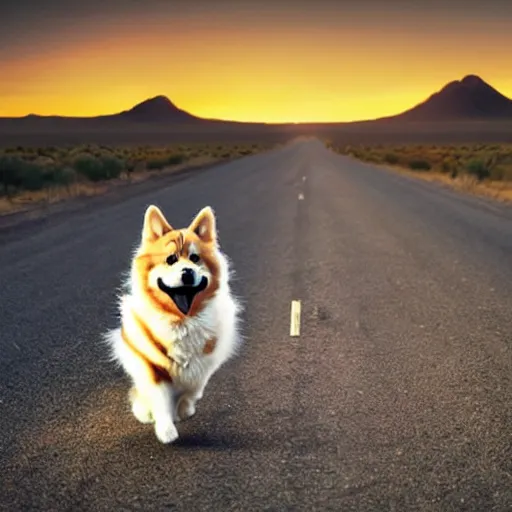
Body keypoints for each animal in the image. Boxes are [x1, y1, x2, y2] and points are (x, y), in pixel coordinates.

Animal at [105, 204, 243, 444]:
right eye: (170, 259)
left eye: (195, 258)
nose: (187, 272)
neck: (181, 320)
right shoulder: (151, 365)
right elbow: (159, 399)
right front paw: (166, 430)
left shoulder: (204, 362)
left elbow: (193, 388)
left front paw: (184, 410)